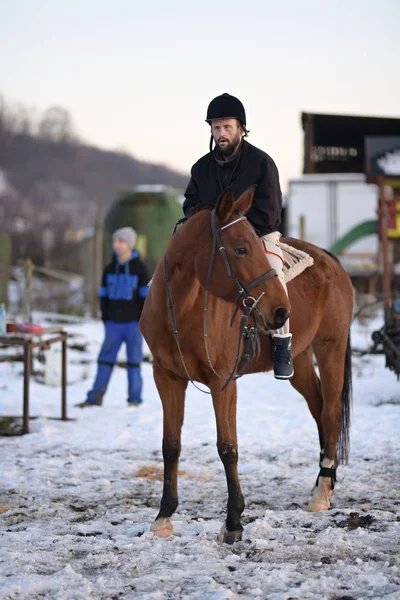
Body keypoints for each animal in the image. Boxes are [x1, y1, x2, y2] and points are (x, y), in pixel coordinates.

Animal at [141, 188, 354, 544]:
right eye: (240, 248)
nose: (281, 311)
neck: (182, 310)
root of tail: (330, 260)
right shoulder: (166, 378)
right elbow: (170, 445)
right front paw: (164, 517)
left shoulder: (222, 382)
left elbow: (227, 447)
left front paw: (233, 521)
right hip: (299, 362)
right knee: (319, 409)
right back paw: (325, 481)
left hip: (330, 348)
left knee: (331, 413)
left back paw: (321, 492)